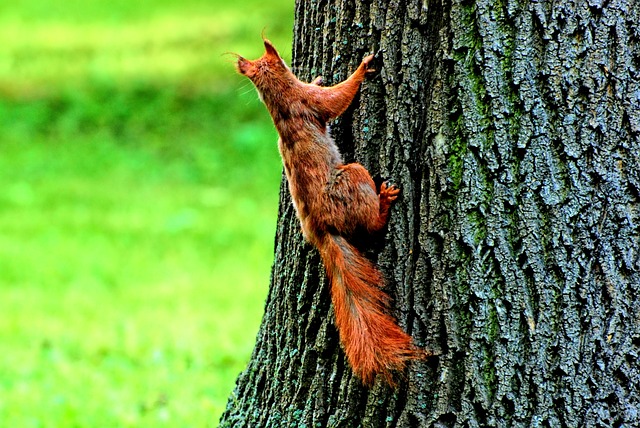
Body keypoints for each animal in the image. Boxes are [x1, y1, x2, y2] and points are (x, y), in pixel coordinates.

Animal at [235, 36, 424, 384]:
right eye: (278, 58)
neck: (279, 101)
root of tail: (321, 229)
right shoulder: (311, 103)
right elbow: (338, 99)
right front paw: (362, 69)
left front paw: (318, 77)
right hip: (353, 177)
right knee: (370, 223)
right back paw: (384, 203)